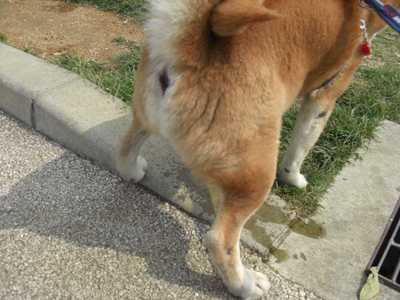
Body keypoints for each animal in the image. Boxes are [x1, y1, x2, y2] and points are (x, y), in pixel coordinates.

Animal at [115, 1, 400, 298]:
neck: (359, 13)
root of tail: (192, 49)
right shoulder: (324, 96)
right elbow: (299, 148)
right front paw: (295, 179)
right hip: (255, 173)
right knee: (220, 241)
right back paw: (246, 285)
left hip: (144, 114)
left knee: (124, 147)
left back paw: (132, 170)